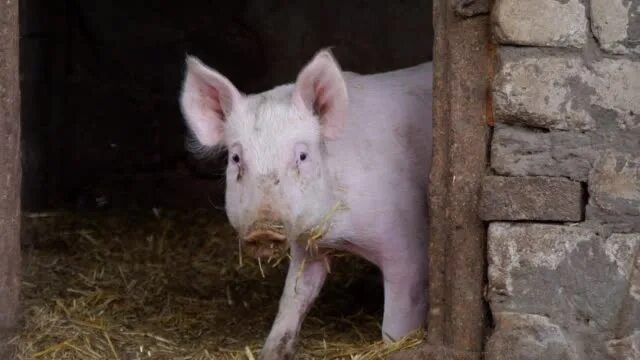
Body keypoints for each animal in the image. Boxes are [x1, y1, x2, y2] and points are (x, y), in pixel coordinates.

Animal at [178, 48, 432, 360]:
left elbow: (395, 327)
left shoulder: (407, 247)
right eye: (236, 159)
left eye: (302, 155)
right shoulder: (306, 247)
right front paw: (271, 351)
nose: (263, 229)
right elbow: (293, 299)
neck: (339, 234)